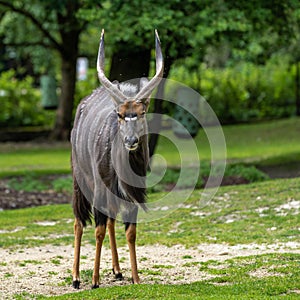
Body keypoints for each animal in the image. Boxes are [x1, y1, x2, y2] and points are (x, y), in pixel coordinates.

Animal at [70, 29, 164, 288]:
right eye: (120, 115)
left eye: (142, 112)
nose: (131, 141)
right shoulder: (100, 191)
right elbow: (98, 230)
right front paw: (94, 281)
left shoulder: (131, 194)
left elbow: (130, 232)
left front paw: (135, 277)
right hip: (79, 182)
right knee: (79, 222)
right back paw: (76, 277)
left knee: (111, 221)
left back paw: (117, 270)